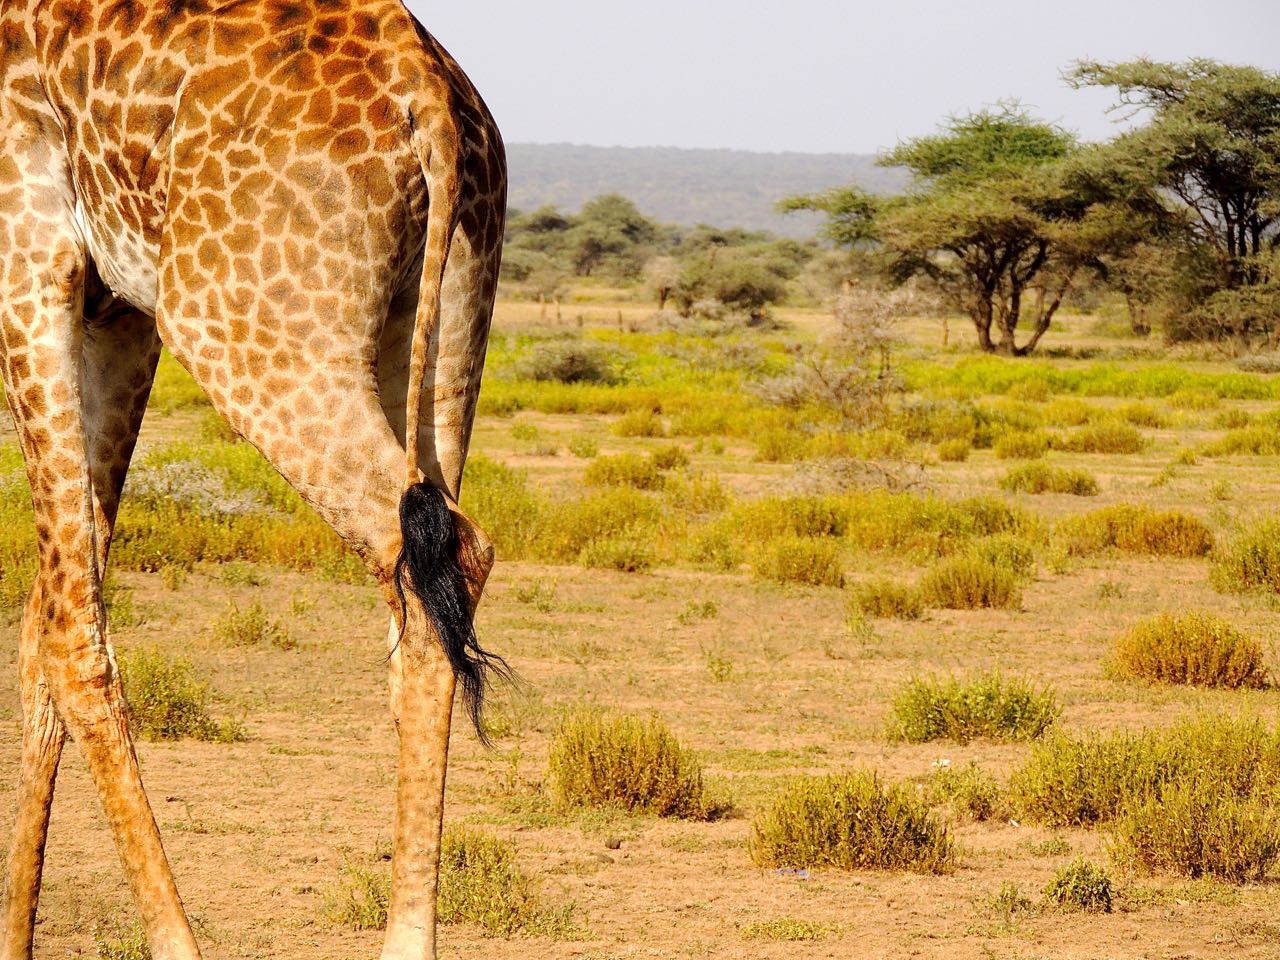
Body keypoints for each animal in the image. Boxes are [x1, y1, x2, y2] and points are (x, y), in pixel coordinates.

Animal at [0, 1, 506, 960]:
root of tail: (427, 85)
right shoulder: (117, 311)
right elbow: (46, 627)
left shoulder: (28, 258)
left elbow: (72, 633)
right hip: (449, 320)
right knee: (429, 575)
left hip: (241, 325)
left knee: (438, 554)